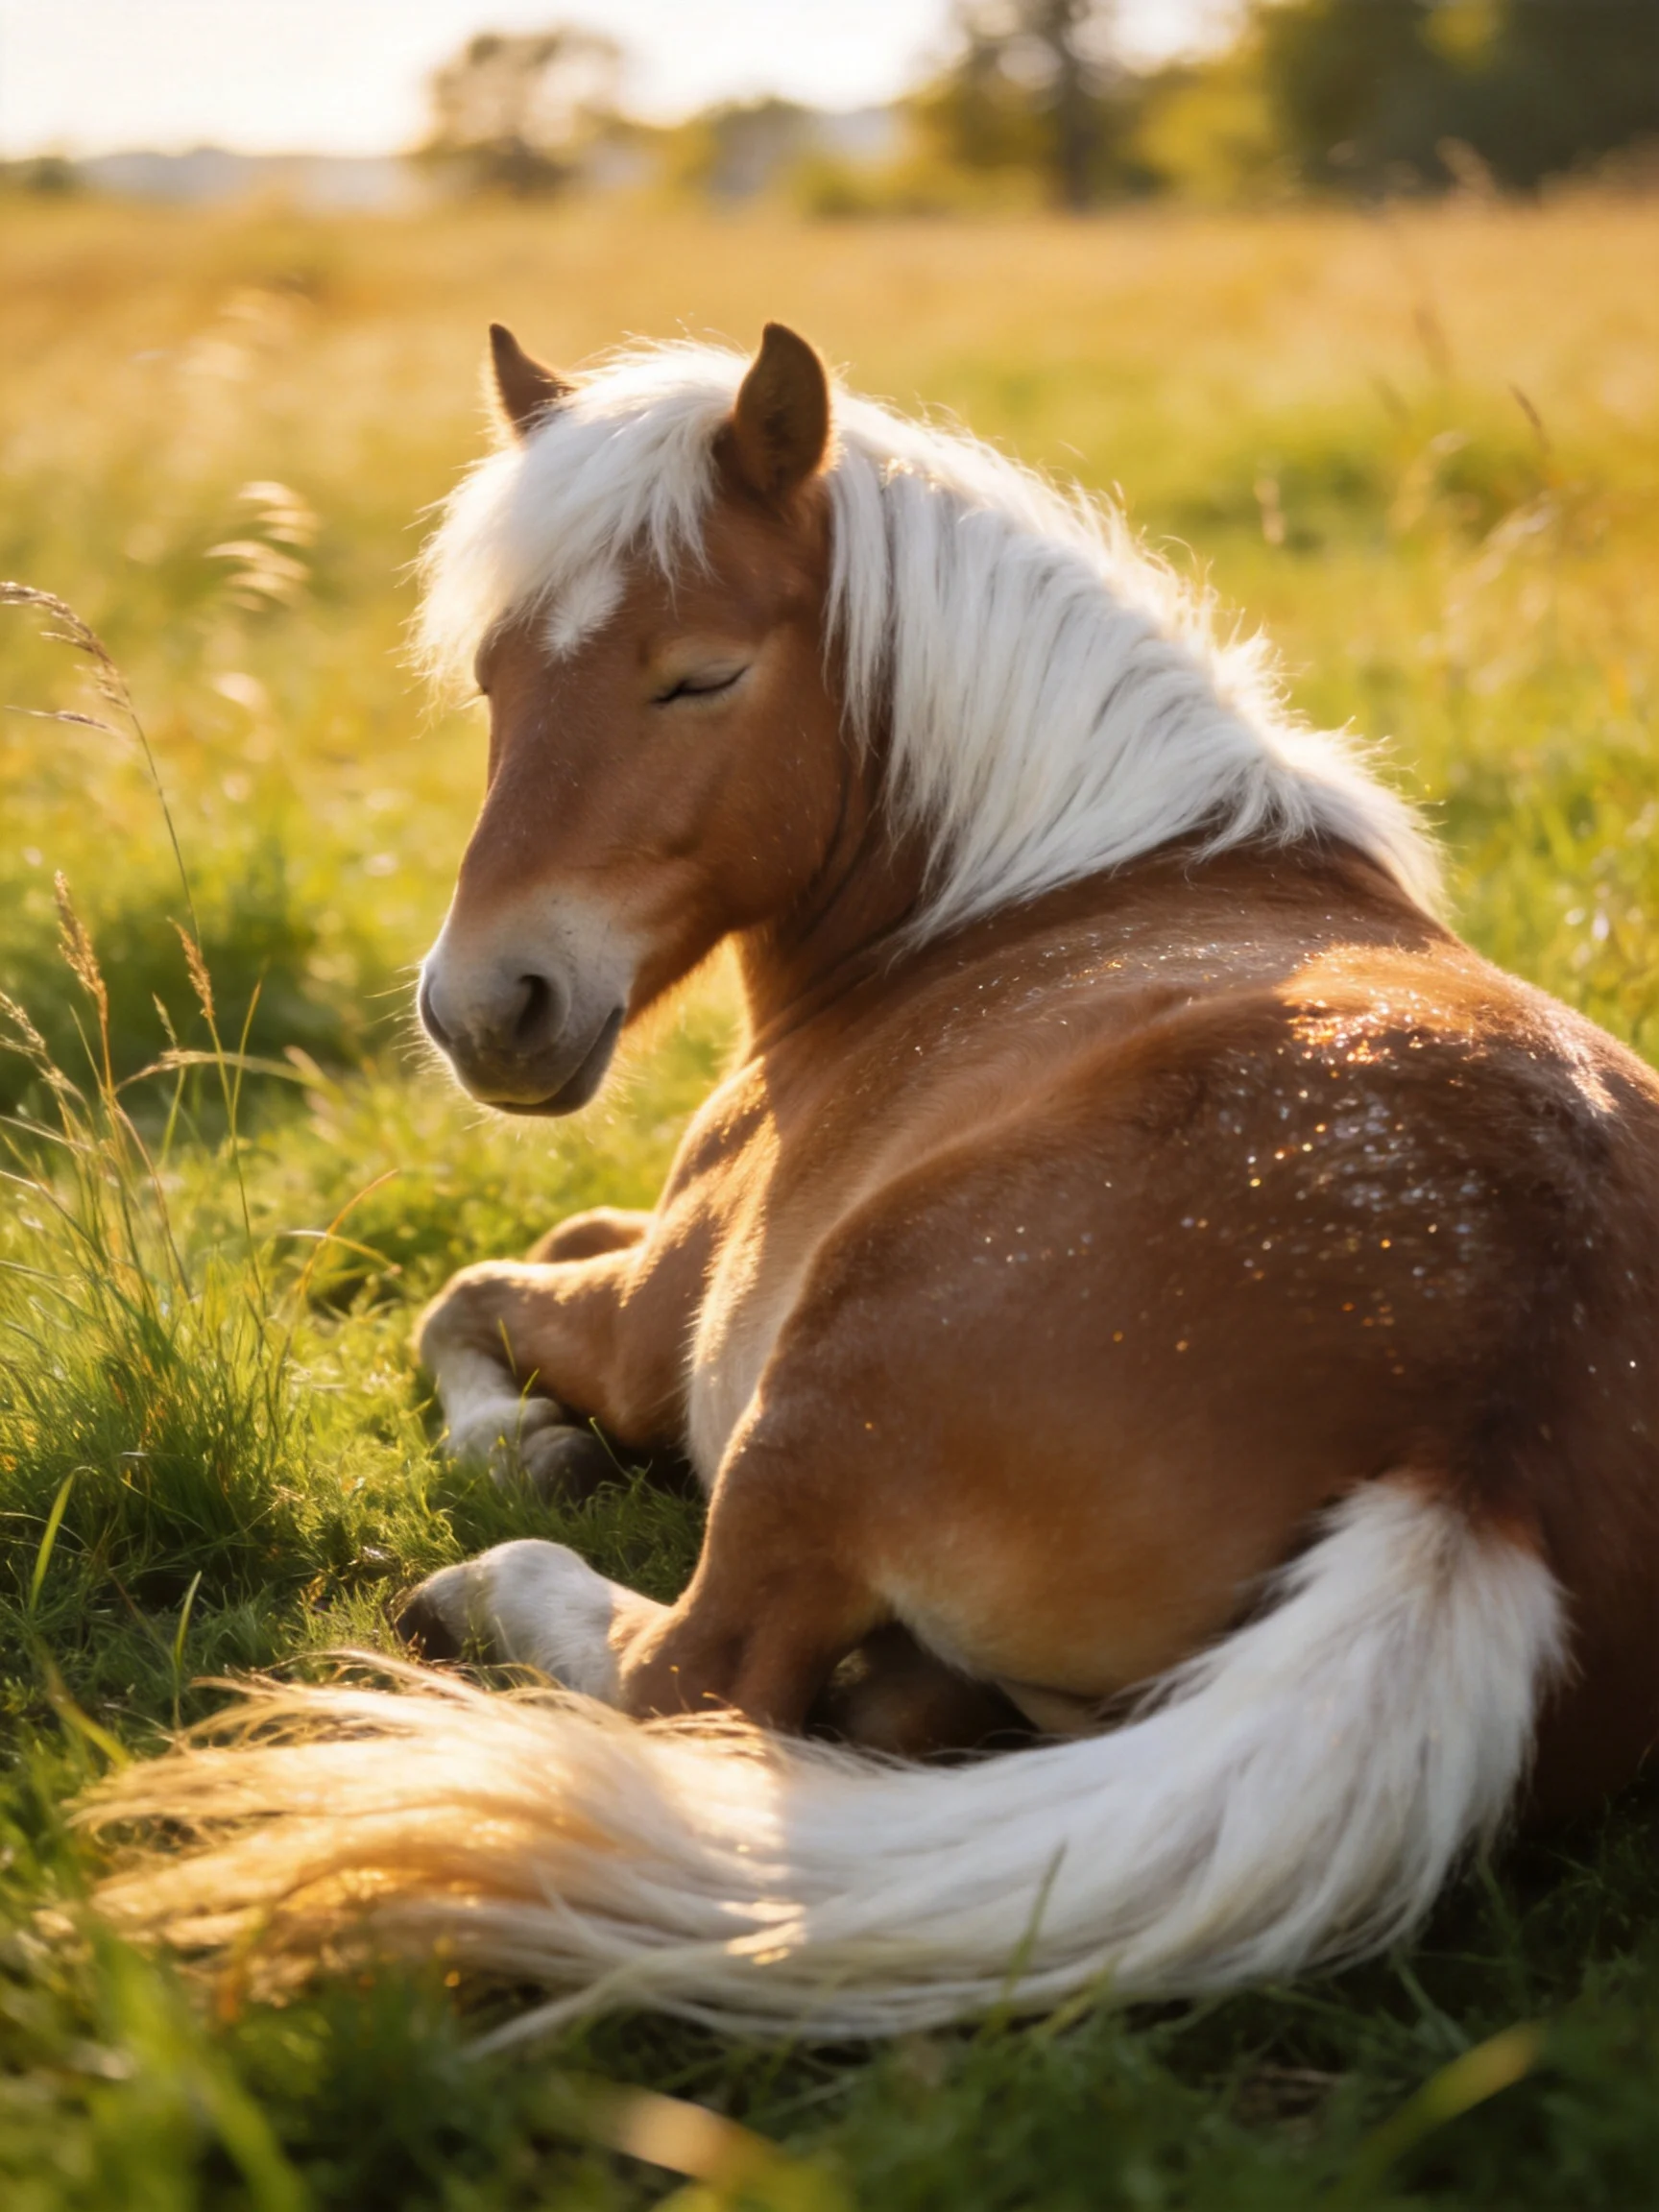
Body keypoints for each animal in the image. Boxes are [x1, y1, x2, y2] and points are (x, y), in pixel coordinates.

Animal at [88, 322, 1659, 2043]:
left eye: (701, 672)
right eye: (496, 675)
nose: (484, 1008)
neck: (1034, 887)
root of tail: (1481, 1454)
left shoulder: (652, 1320)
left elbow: (466, 1294)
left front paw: (530, 1444)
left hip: (812, 1400)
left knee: (694, 1688)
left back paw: (499, 1583)